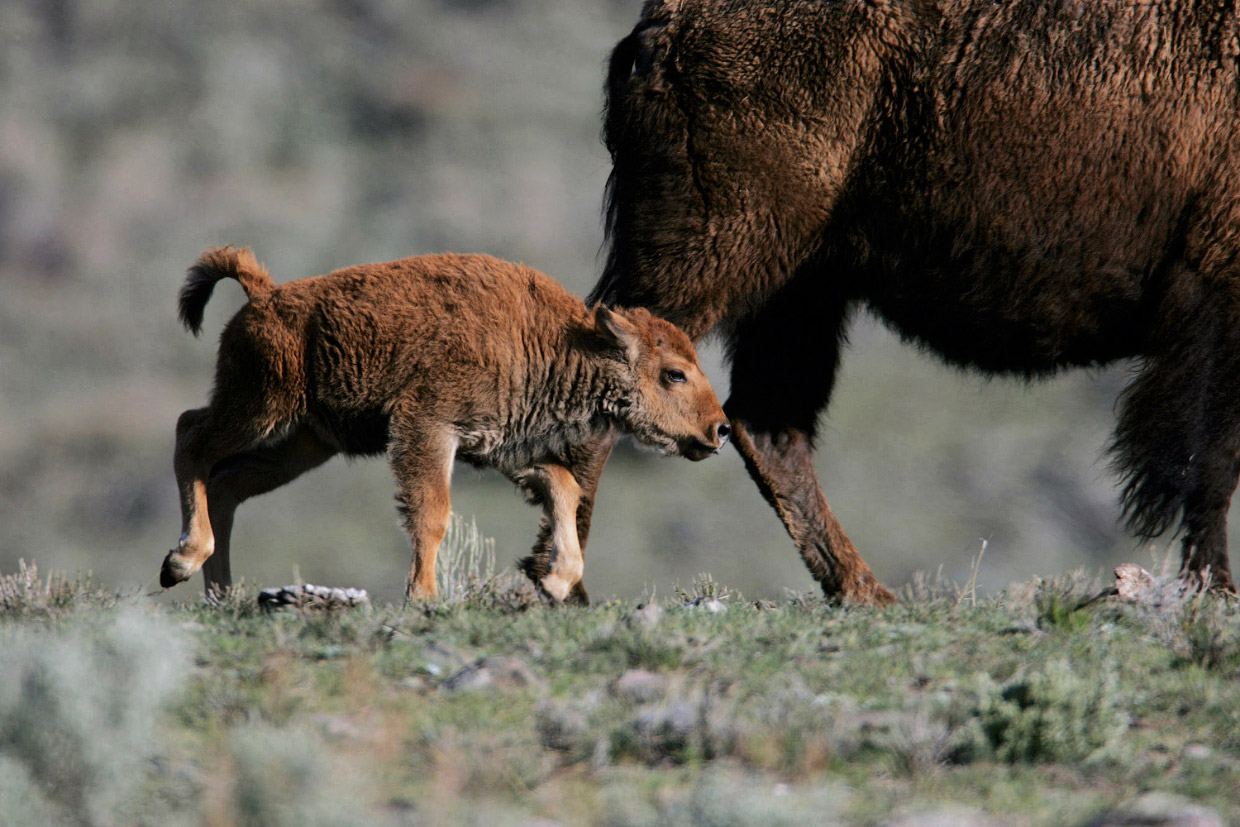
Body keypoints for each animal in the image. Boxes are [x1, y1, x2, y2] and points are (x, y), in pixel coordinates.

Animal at [162, 245, 724, 602]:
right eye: (674, 373)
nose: (718, 430)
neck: (556, 340)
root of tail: (265, 295)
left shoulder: (504, 450)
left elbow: (564, 486)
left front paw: (556, 581)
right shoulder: (428, 429)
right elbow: (432, 513)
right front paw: (425, 597)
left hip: (302, 444)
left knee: (227, 485)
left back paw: (219, 595)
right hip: (260, 409)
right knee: (191, 434)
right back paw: (182, 561)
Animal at [565, 0, 1240, 602]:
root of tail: (666, 25)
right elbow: (1207, 462)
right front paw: (1215, 591)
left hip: (799, 288)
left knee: (766, 423)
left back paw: (867, 592)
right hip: (716, 258)